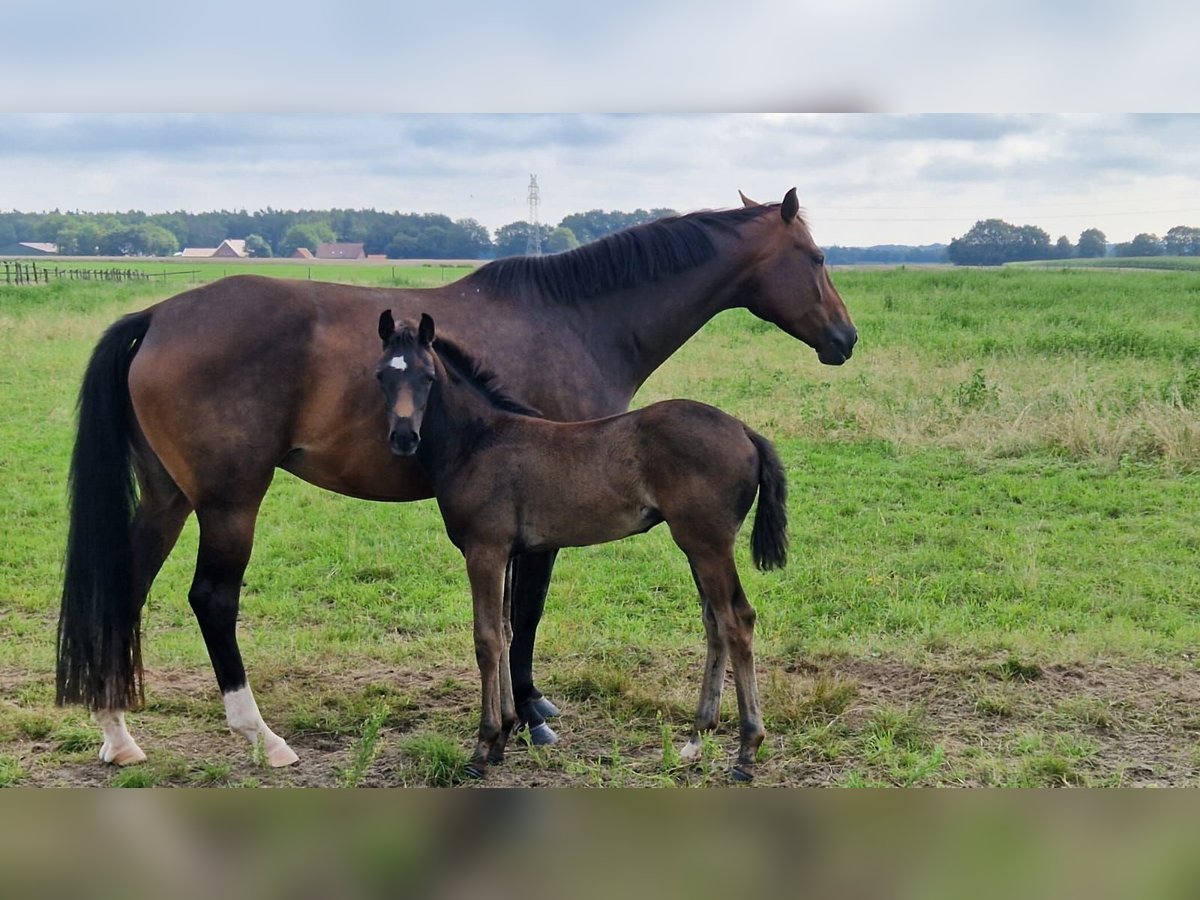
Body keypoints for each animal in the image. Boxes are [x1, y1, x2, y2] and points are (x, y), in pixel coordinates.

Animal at [376, 312, 787, 782]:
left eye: (427, 377)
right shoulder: (509, 552)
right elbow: (506, 630)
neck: (478, 442)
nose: (403, 437)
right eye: (382, 375)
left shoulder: (485, 550)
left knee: (737, 620)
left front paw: (483, 747)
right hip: (698, 544)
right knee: (715, 622)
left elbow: (487, 639)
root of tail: (744, 430)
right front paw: (503, 736)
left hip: (707, 542)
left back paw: (746, 751)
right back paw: (697, 738)